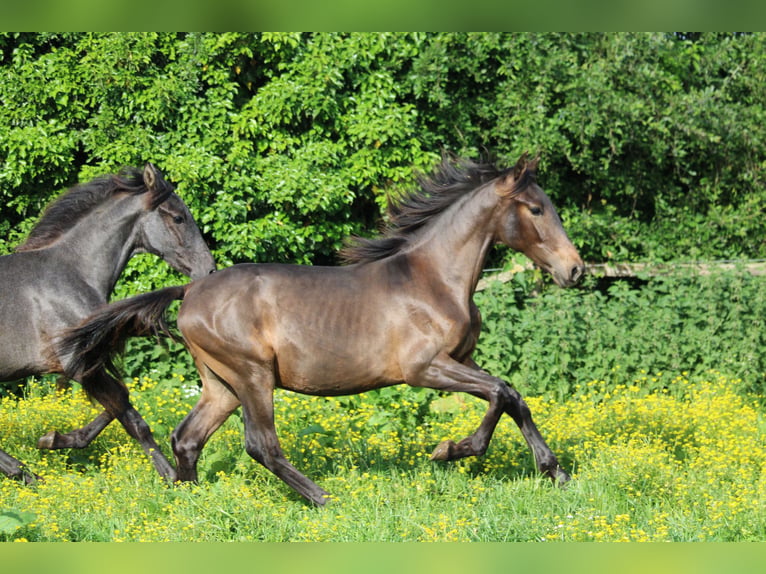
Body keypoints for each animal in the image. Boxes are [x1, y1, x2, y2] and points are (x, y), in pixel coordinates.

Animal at [0, 164, 216, 484]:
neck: (71, 274)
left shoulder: (90, 364)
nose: (209, 270)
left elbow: (121, 402)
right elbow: (133, 418)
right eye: (178, 217)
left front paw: (54, 439)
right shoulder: (80, 365)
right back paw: (25, 474)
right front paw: (171, 477)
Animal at [60, 153, 584, 505]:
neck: (433, 280)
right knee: (261, 445)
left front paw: (555, 472)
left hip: (220, 384)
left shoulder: (461, 359)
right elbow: (500, 393)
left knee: (188, 438)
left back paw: (192, 503)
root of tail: (190, 291)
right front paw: (450, 450)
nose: (575, 270)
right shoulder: (425, 368)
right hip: (253, 375)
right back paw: (324, 497)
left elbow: (513, 396)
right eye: (536, 210)